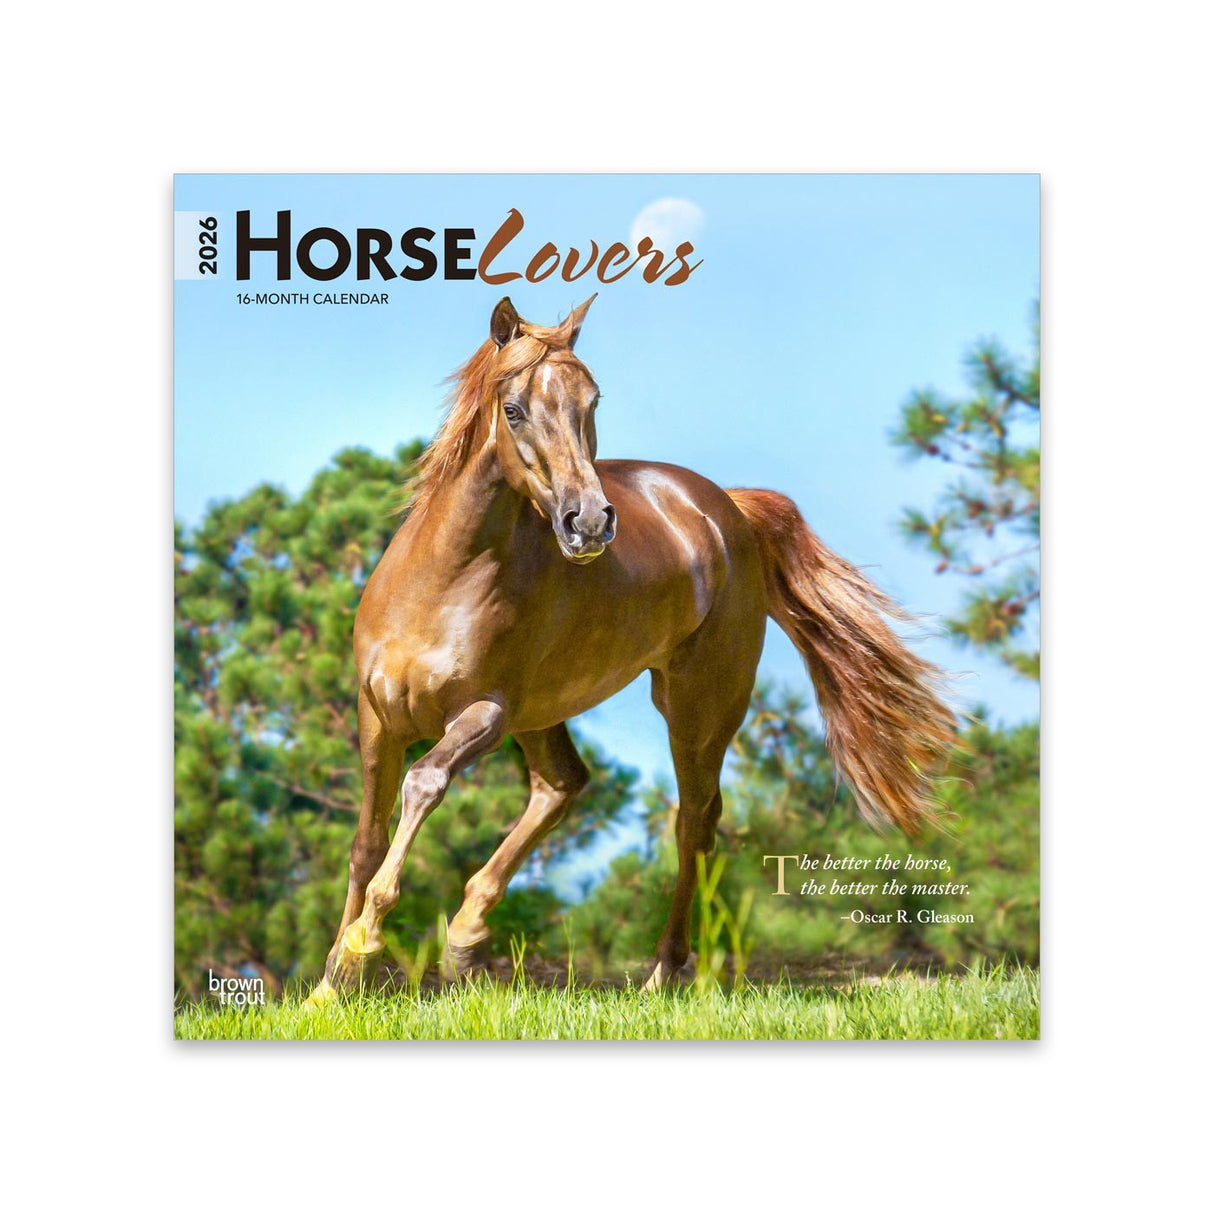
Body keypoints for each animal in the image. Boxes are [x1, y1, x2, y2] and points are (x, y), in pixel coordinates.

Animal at [307, 293, 955, 1003]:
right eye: (514, 409)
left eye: (592, 401)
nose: (588, 521)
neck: (441, 580)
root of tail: (728, 510)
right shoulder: (378, 715)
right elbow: (366, 842)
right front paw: (330, 982)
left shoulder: (485, 714)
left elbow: (424, 784)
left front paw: (360, 947)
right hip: (545, 714)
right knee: (565, 784)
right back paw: (468, 941)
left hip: (694, 706)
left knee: (693, 818)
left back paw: (663, 971)